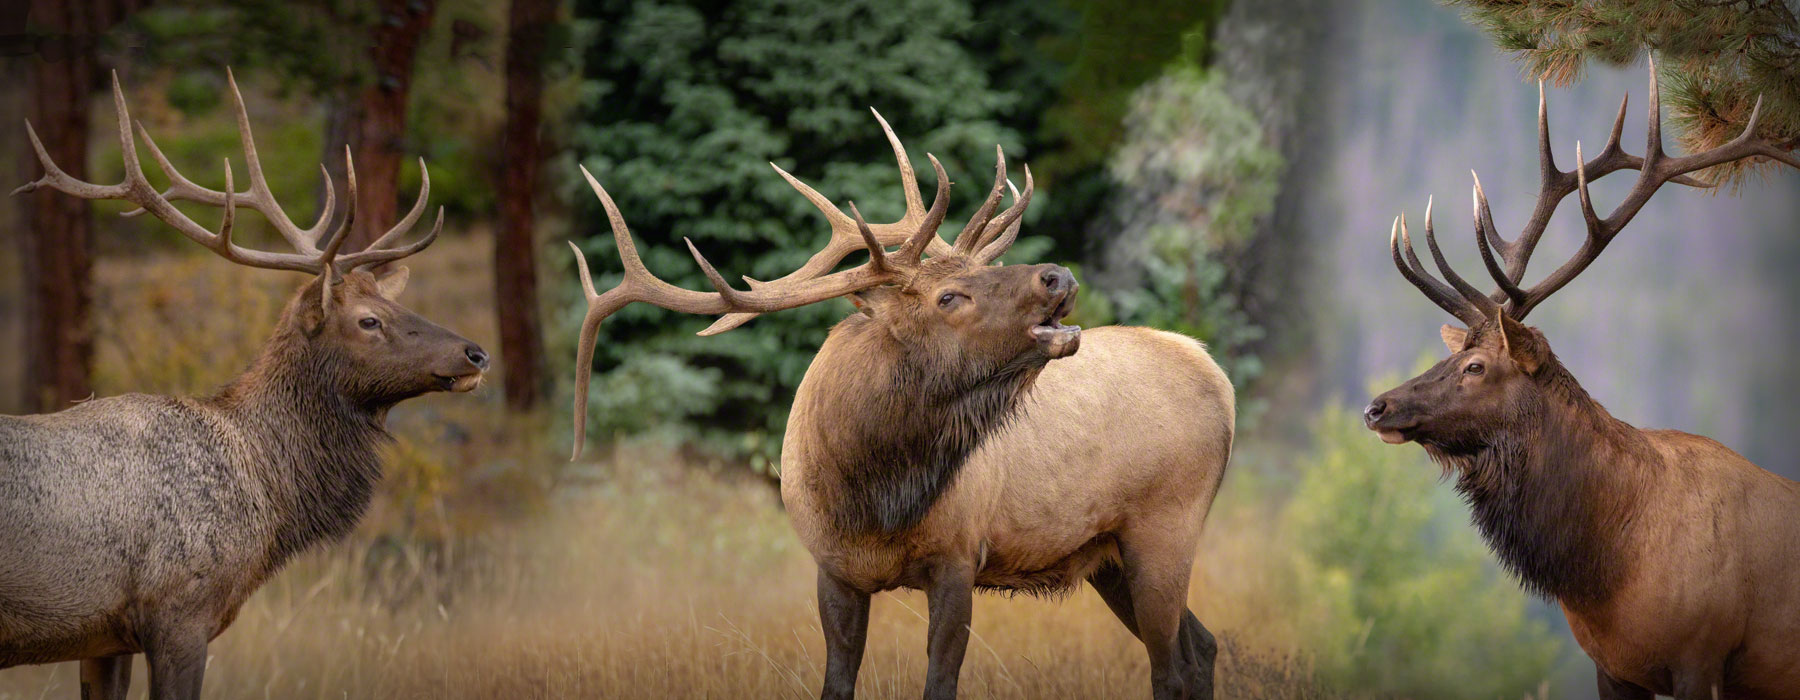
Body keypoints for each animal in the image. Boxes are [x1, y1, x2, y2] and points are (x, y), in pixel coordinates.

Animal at [0, 72, 486, 698]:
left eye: (391, 303)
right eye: (368, 321)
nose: (476, 353)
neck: (265, 493)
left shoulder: (103, 638)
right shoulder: (179, 609)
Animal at [565, 112, 1238, 694]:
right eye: (949, 295)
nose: (1058, 276)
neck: (874, 495)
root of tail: (1215, 371)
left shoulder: (959, 557)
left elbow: (939, 681)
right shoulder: (833, 570)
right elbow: (837, 682)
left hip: (1165, 526)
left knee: (1171, 667)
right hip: (1110, 557)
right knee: (1200, 648)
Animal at [1360, 59, 1800, 698]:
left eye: (1475, 367)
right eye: (1452, 355)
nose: (1377, 408)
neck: (1609, 571)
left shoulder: (1703, 654)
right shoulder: (1610, 664)